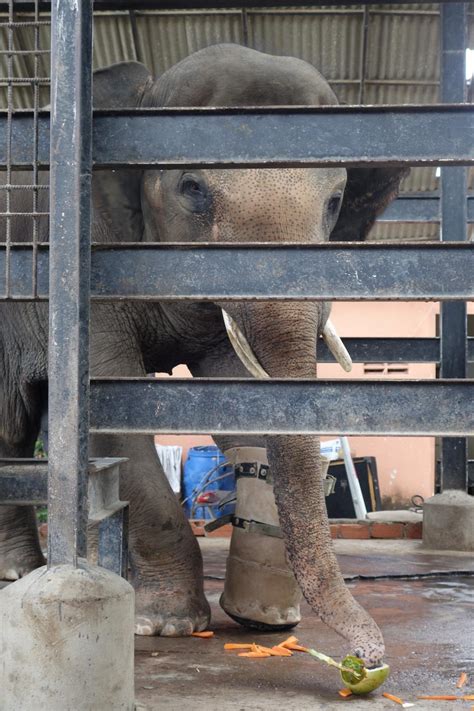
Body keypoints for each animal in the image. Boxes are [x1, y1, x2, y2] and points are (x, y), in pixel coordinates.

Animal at [0, 43, 408, 668]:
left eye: (335, 202)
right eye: (193, 188)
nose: (369, 658)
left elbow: (236, 392)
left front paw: (265, 617)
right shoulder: (81, 264)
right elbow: (114, 410)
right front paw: (167, 625)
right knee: (9, 424)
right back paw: (20, 574)